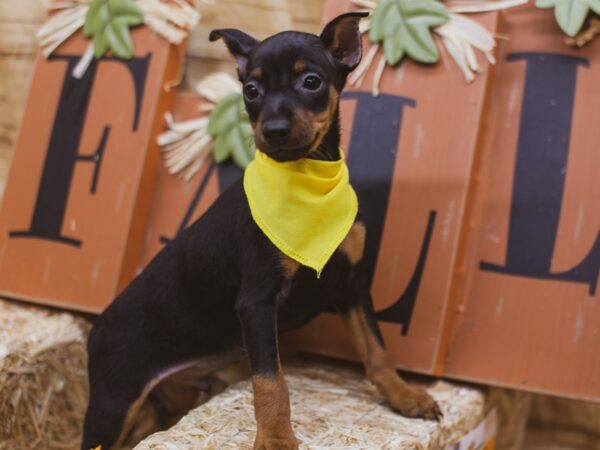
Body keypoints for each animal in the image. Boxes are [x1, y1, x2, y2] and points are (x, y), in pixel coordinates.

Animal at [82, 12, 440, 448]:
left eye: (311, 82)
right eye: (251, 90)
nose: (274, 130)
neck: (307, 180)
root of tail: (94, 334)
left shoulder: (351, 284)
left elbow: (375, 346)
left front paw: (404, 395)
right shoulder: (256, 302)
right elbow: (270, 381)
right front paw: (276, 438)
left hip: (163, 402)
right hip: (114, 405)